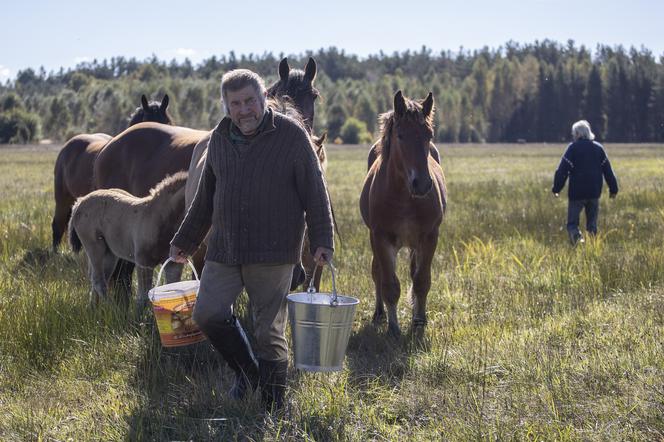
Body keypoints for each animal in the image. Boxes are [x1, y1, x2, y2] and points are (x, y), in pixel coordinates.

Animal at [69, 171, 188, 310]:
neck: (160, 219)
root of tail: (78, 203)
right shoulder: (143, 262)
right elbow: (143, 296)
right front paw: (140, 315)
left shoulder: (173, 264)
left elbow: (175, 289)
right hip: (94, 248)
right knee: (99, 281)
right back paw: (113, 310)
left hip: (109, 253)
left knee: (98, 278)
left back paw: (94, 309)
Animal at [358, 91, 446, 336]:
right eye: (400, 135)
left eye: (429, 134)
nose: (422, 184)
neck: (405, 196)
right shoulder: (381, 238)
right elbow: (389, 284)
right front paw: (394, 328)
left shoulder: (429, 237)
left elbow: (421, 281)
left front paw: (419, 322)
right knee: (377, 271)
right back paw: (379, 314)